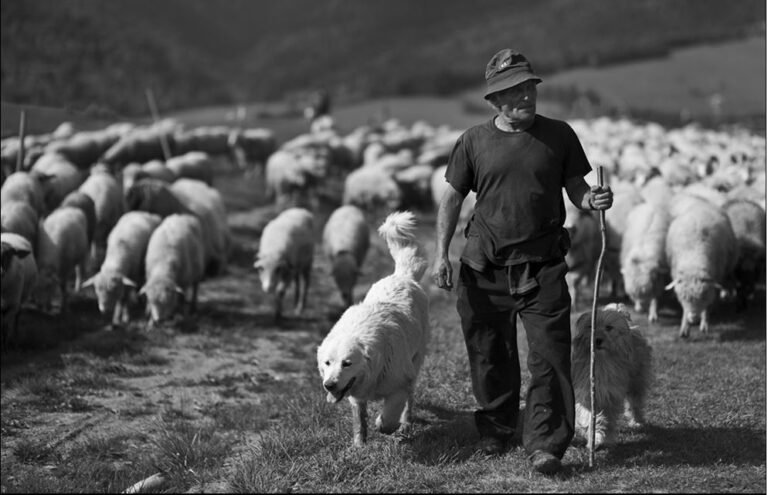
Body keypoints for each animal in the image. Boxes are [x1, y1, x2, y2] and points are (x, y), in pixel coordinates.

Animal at [316, 211, 428, 448]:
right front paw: (359, 445)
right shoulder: (355, 395)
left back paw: (406, 424)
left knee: (410, 400)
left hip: (416, 360)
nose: (329, 385)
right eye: (327, 363)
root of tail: (404, 276)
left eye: (347, 363)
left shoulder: (400, 383)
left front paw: (384, 425)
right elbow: (359, 420)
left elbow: (388, 416)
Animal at [572, 302, 652, 450]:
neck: (600, 363)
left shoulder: (610, 396)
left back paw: (637, 422)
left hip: (637, 381)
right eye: (590, 326)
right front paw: (595, 437)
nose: (597, 340)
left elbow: (608, 420)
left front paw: (605, 438)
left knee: (635, 402)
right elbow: (590, 417)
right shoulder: (586, 395)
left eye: (608, 328)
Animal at [664, 196, 736, 340]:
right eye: (683, 296)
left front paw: (704, 324)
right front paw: (685, 328)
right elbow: (684, 310)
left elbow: (707, 306)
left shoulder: (714, 281)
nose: (693, 319)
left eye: (704, 295)